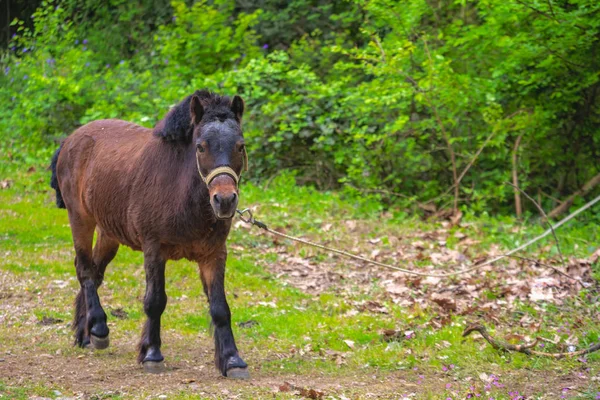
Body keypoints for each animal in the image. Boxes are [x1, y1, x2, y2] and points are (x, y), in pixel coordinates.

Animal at [48, 90, 251, 378]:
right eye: (201, 147)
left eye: (240, 146)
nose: (224, 200)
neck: (179, 190)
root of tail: (71, 139)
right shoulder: (154, 250)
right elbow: (155, 301)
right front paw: (152, 354)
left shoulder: (214, 254)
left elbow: (220, 307)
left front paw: (232, 360)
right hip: (80, 219)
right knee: (85, 270)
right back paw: (98, 329)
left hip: (109, 233)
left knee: (95, 272)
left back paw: (85, 332)